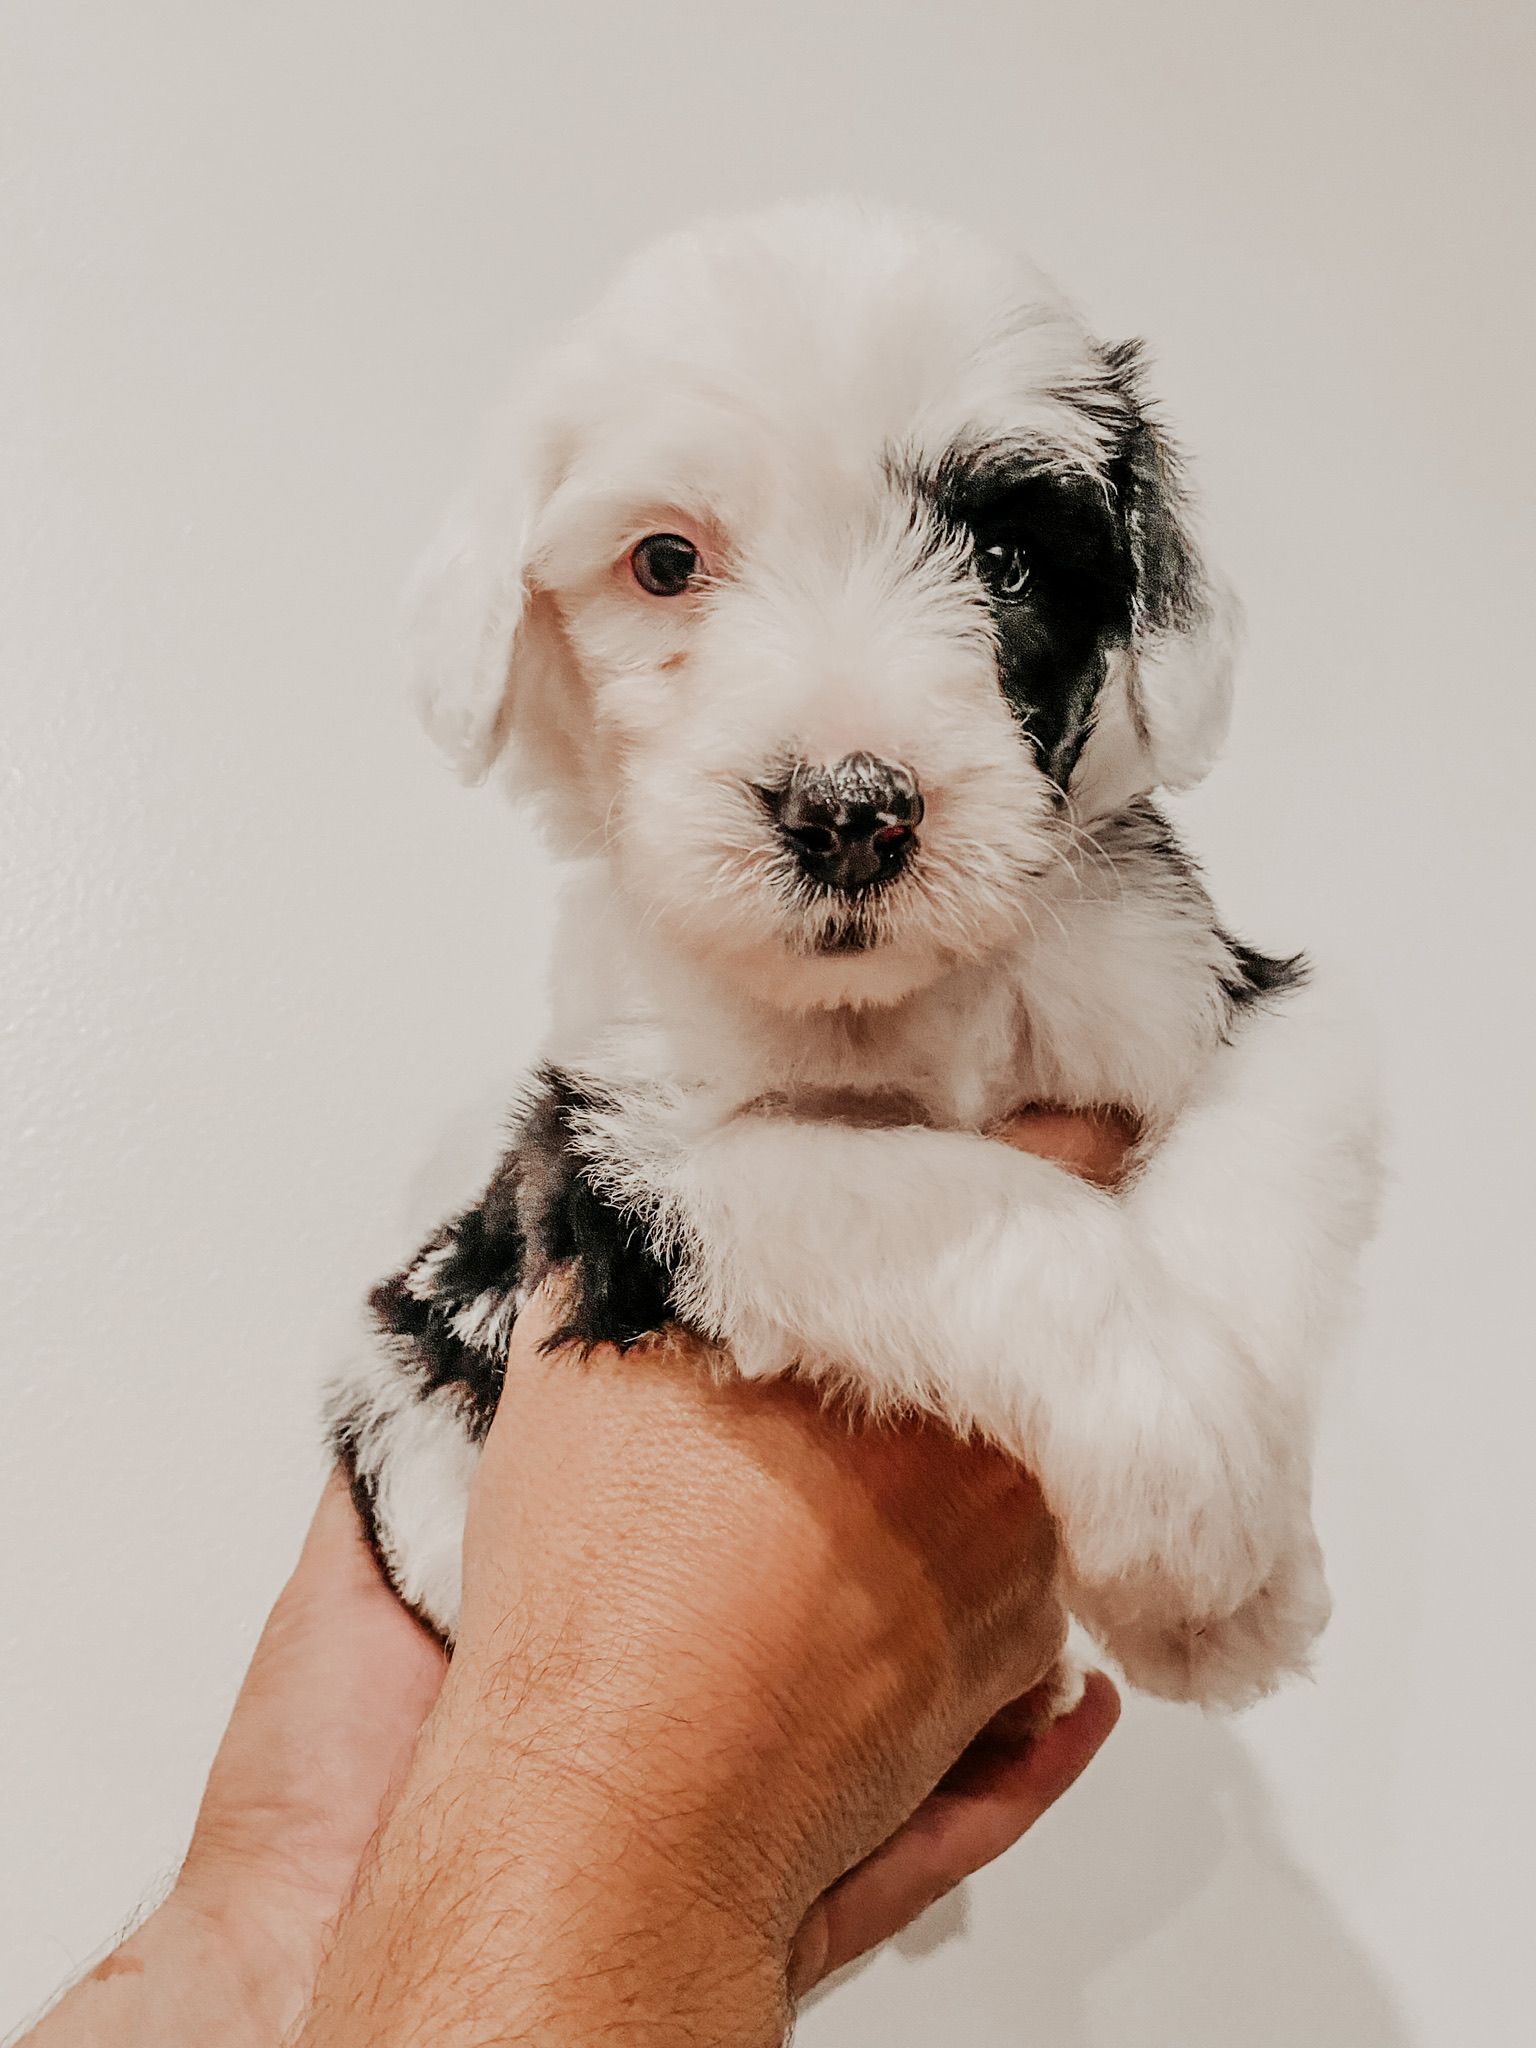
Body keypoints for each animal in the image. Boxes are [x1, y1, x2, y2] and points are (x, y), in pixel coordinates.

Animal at [328, 200, 1381, 1710]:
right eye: (664, 562)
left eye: (1007, 564)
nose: (850, 813)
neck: (908, 992)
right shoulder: (629, 1155)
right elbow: (952, 1197)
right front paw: (1181, 1461)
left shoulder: (1221, 987)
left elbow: (1254, 1173)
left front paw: (1230, 1574)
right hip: (399, 1397)